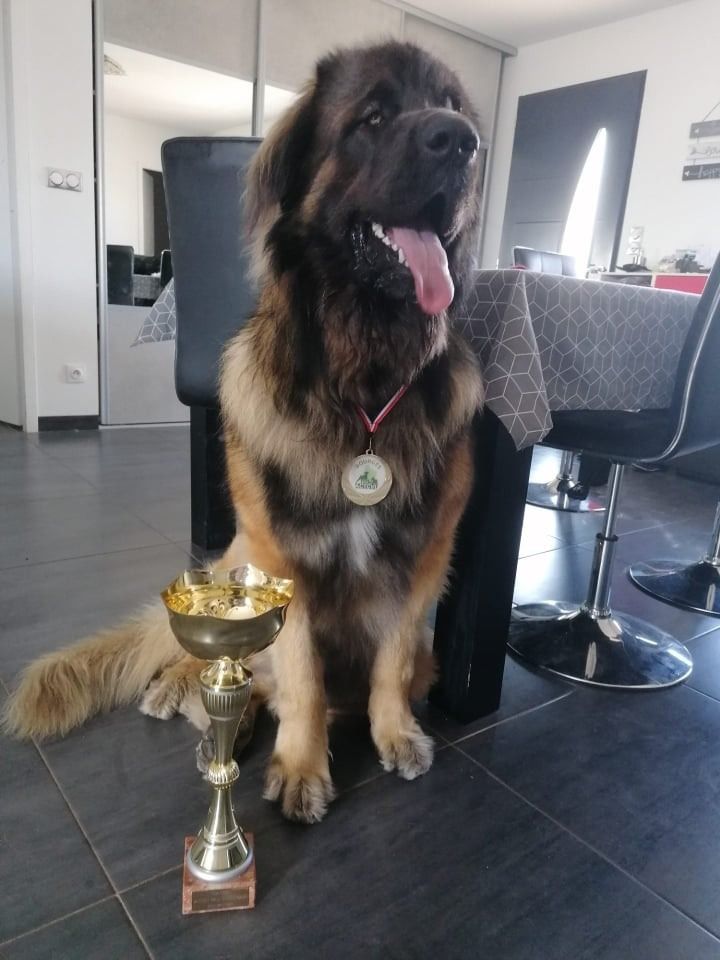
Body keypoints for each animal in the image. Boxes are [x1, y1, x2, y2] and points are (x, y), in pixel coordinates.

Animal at [4, 40, 484, 824]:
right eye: (373, 117)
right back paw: (186, 694)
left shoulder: (423, 556)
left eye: (452, 107)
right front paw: (302, 764)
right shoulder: (278, 558)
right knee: (224, 668)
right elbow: (301, 675)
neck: (363, 378)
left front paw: (393, 731)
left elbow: (392, 659)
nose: (463, 142)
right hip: (236, 569)